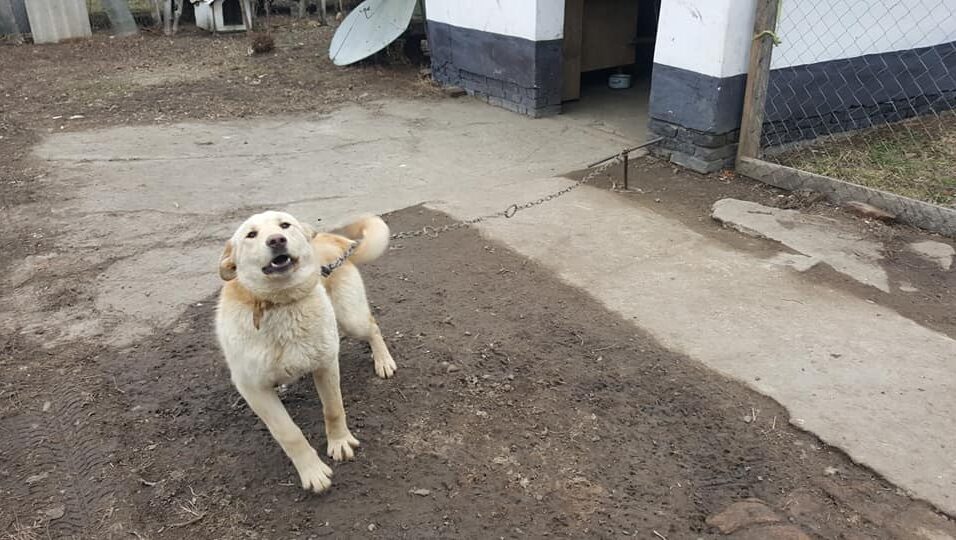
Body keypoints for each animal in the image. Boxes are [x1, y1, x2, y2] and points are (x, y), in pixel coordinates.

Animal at [216, 211, 396, 494]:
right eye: (251, 235)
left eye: (284, 225)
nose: (276, 240)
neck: (281, 305)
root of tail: (327, 238)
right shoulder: (253, 389)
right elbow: (289, 434)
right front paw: (312, 471)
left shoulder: (325, 363)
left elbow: (333, 409)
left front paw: (340, 442)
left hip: (351, 319)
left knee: (373, 327)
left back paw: (383, 360)